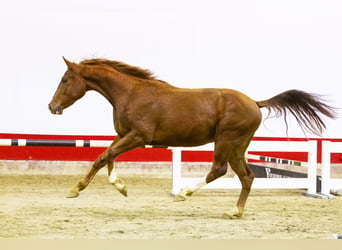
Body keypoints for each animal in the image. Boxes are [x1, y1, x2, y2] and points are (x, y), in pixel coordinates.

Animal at [48, 58, 336, 219]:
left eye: (64, 79)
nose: (52, 107)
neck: (130, 94)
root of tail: (255, 102)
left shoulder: (138, 136)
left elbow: (105, 155)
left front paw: (101, 188)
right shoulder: (122, 135)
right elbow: (105, 158)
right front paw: (102, 188)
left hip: (226, 140)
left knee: (218, 170)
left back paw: (183, 194)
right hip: (238, 146)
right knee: (246, 177)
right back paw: (235, 211)